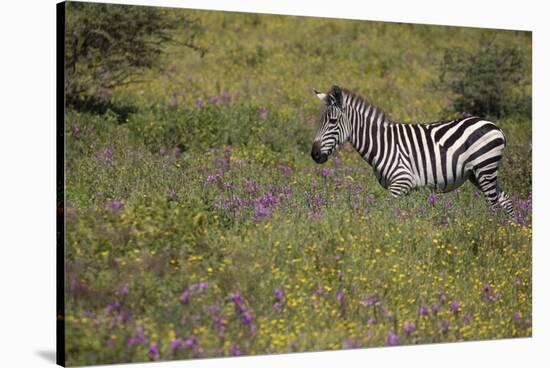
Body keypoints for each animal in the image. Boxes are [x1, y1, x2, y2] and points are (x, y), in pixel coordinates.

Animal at [312, 85, 520, 217]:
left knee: (493, 204)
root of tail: (496, 127)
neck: (382, 143)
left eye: (332, 121)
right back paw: (511, 231)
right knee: (505, 201)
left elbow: (386, 212)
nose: (314, 154)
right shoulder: (403, 188)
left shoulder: (401, 182)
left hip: (485, 168)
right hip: (478, 174)